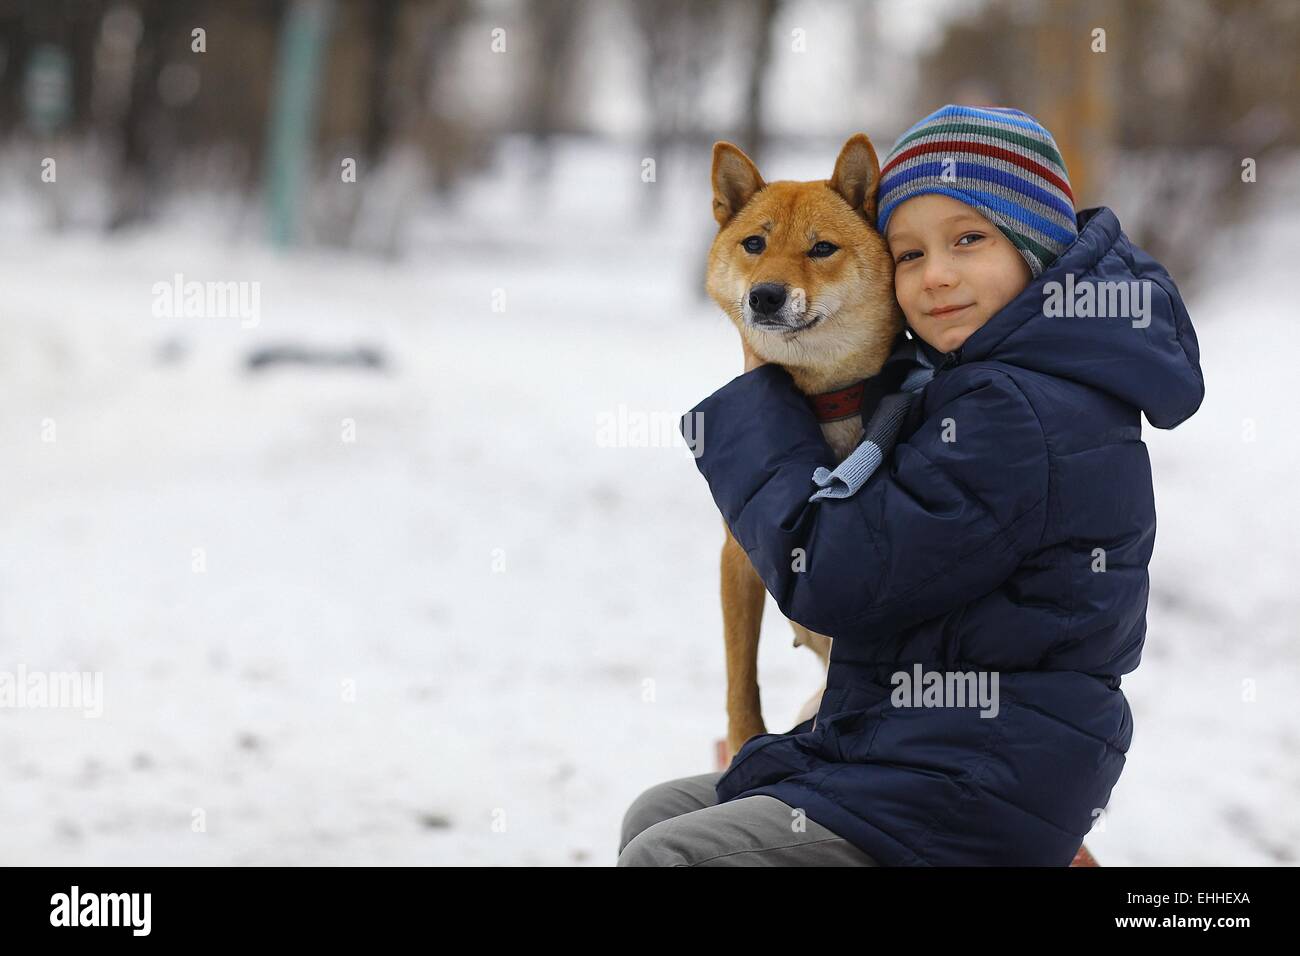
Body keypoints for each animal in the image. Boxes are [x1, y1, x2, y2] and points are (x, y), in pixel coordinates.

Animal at [712, 132, 904, 764]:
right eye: (754, 243)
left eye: (822, 248)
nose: (765, 296)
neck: (824, 402)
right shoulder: (737, 558)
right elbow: (740, 679)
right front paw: (745, 740)